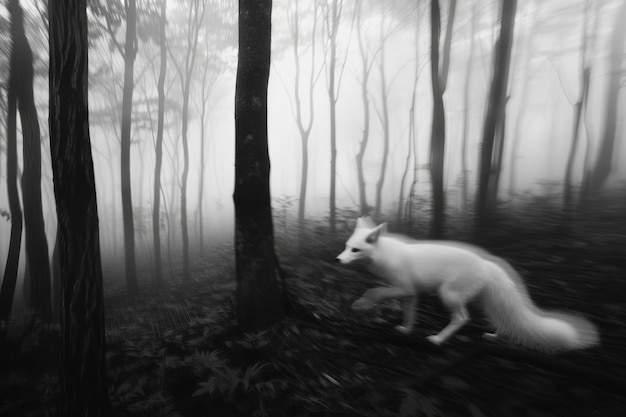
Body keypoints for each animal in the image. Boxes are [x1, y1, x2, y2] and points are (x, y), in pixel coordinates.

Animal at [334, 216, 596, 352]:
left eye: (355, 250)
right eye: (346, 246)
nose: (338, 260)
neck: (384, 254)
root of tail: (487, 264)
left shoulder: (403, 288)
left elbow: (375, 291)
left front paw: (361, 304)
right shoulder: (410, 294)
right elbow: (409, 314)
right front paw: (406, 330)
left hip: (448, 294)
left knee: (462, 318)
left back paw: (438, 340)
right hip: (483, 301)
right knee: (501, 319)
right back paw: (494, 336)